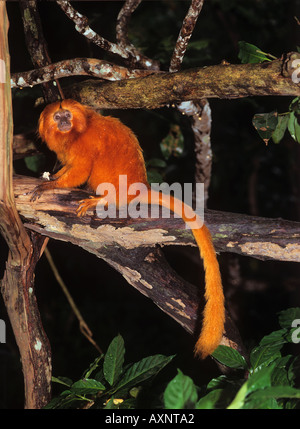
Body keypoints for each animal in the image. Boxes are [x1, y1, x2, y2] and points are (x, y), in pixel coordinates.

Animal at [32, 98, 225, 356]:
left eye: (67, 116)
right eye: (57, 117)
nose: (63, 122)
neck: (74, 134)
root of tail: (140, 187)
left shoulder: (85, 144)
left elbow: (81, 170)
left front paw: (50, 187)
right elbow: (68, 168)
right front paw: (52, 177)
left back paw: (103, 200)